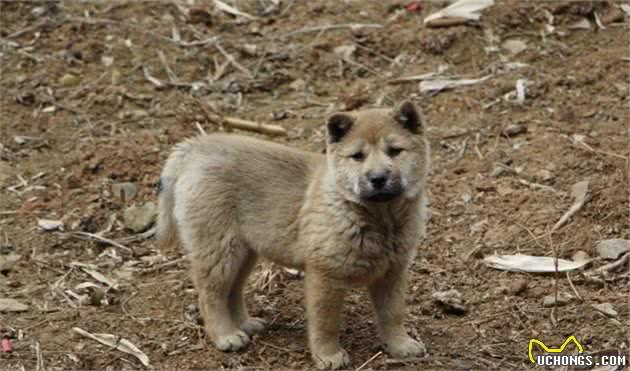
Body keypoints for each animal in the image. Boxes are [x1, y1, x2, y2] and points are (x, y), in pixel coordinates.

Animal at [157, 101, 432, 370]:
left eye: (395, 151)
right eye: (358, 156)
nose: (377, 178)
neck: (380, 219)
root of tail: (194, 147)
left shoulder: (393, 272)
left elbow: (392, 314)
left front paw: (400, 345)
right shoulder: (325, 275)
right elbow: (326, 323)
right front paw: (328, 356)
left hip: (244, 252)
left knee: (232, 291)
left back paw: (245, 324)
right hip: (220, 250)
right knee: (210, 295)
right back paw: (226, 336)